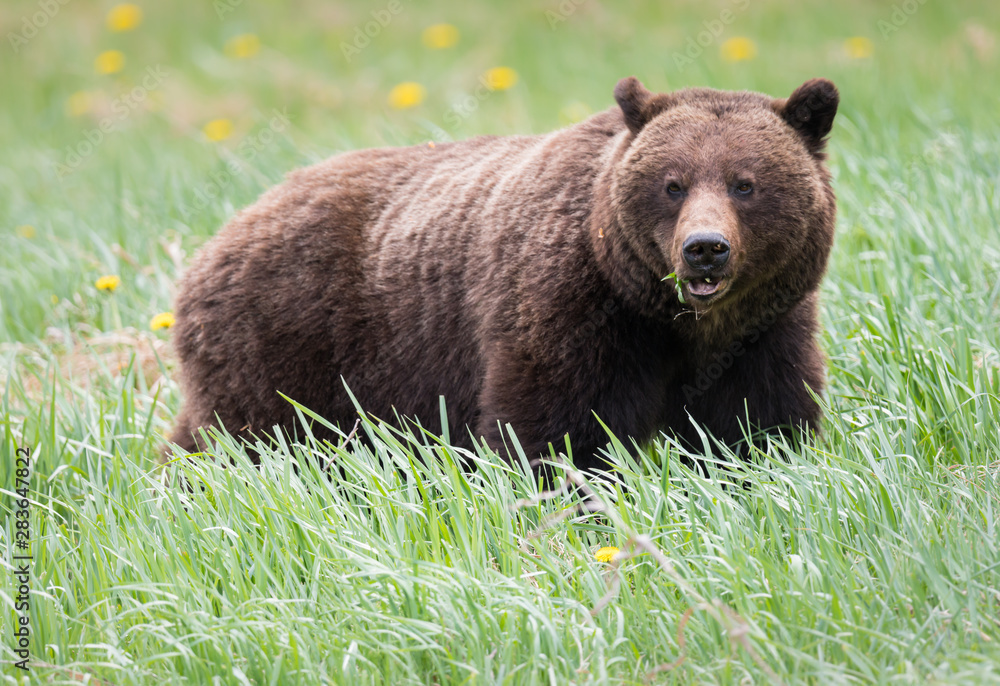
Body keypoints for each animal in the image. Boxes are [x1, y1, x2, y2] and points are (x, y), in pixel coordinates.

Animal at [168, 76, 839, 472]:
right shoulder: (571, 310)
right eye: (672, 184)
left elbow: (757, 421)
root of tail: (218, 237)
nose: (705, 249)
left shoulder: (763, 329)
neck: (669, 317)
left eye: (744, 183)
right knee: (252, 441)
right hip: (290, 339)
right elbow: (555, 431)